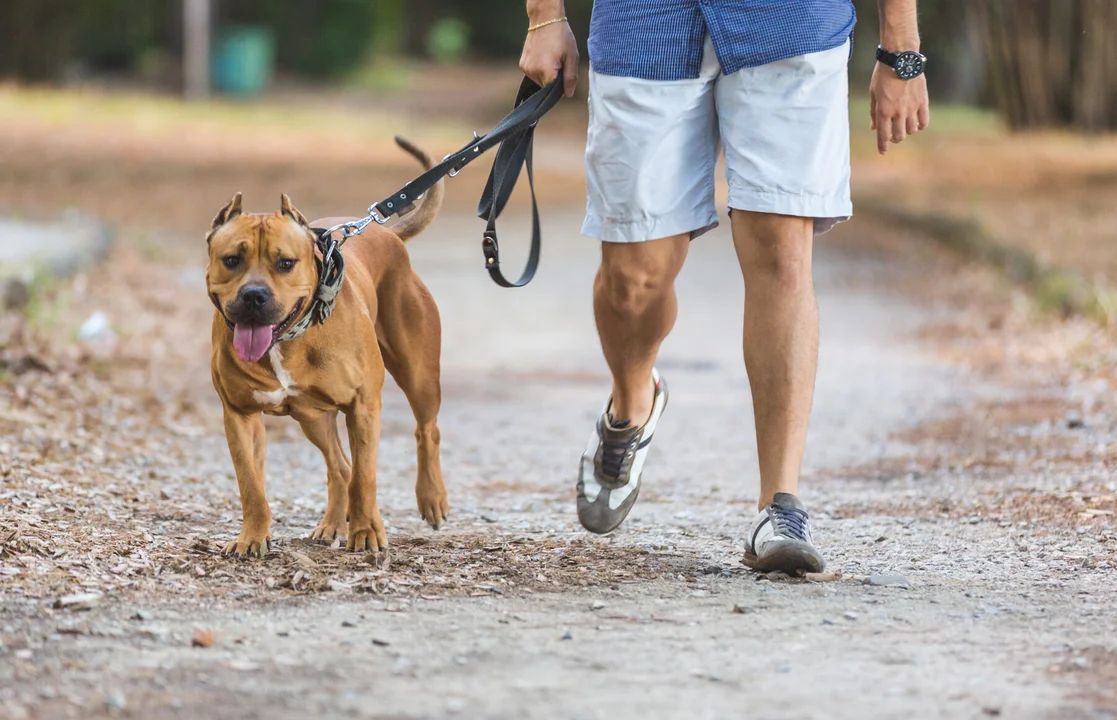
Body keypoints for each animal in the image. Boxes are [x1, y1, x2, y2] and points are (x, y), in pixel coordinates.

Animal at [203, 138, 446, 555]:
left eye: (286, 263)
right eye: (231, 260)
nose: (253, 296)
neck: (287, 340)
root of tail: (387, 235)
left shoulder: (363, 406)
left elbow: (366, 477)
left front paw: (365, 532)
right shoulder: (240, 415)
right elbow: (251, 485)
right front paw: (252, 537)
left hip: (418, 375)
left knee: (425, 430)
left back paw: (431, 498)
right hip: (312, 417)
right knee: (339, 466)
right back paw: (332, 523)